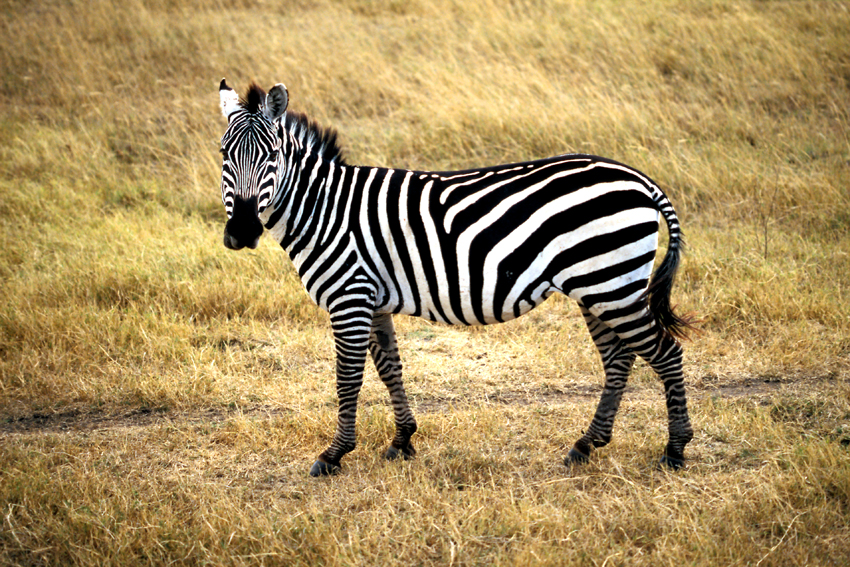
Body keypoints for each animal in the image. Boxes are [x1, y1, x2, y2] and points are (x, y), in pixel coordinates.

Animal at [215, 80, 692, 478]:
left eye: (271, 157)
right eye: (224, 156)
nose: (241, 232)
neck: (324, 209)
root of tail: (639, 179)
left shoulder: (349, 298)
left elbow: (347, 378)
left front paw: (334, 455)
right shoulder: (374, 300)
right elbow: (390, 369)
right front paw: (402, 440)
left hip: (610, 284)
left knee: (665, 353)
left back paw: (675, 450)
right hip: (598, 286)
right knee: (619, 359)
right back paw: (586, 445)